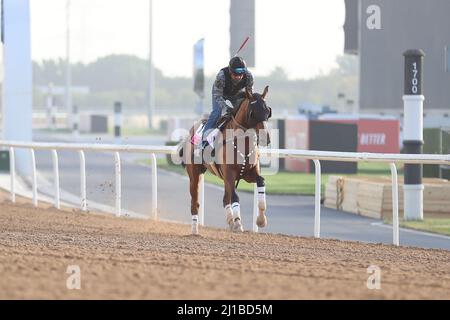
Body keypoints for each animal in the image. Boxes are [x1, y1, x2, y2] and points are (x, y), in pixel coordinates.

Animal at [178, 86, 270, 234]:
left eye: (267, 111)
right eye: (252, 113)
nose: (266, 138)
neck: (242, 143)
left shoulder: (249, 173)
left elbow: (260, 181)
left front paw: (261, 220)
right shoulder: (229, 174)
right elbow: (235, 196)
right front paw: (238, 223)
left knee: (225, 198)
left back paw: (230, 221)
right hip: (194, 175)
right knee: (195, 202)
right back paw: (195, 230)